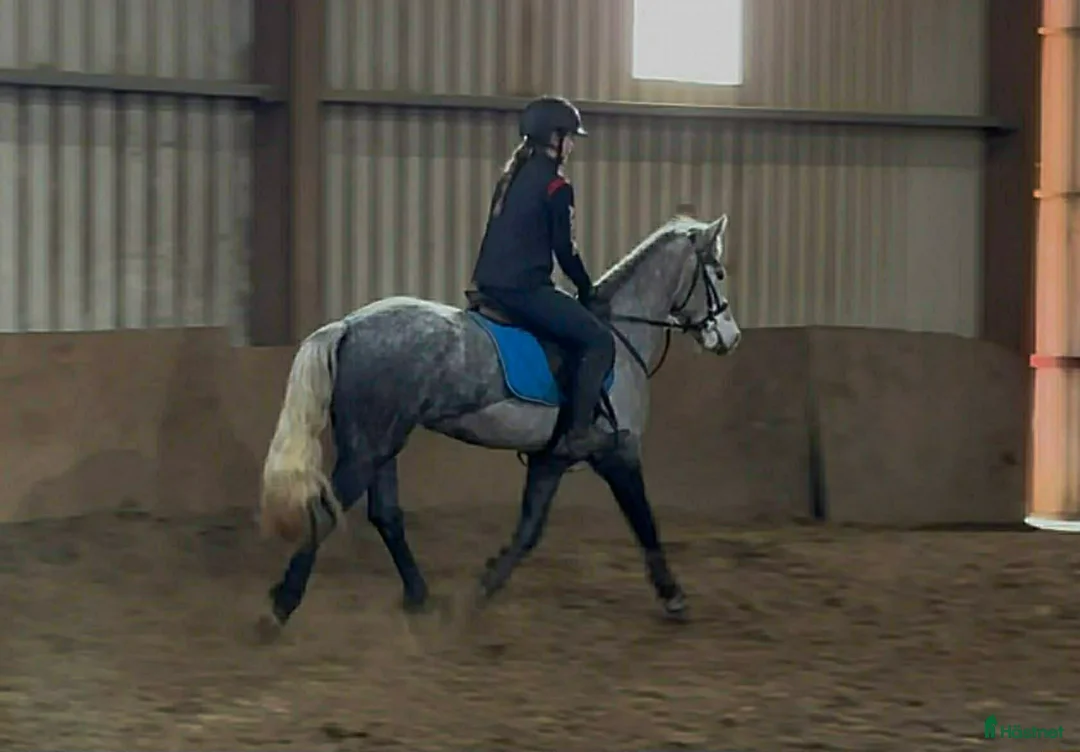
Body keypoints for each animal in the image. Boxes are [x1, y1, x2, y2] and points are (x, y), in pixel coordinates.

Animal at [257, 213, 741, 632]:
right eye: (717, 272)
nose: (730, 338)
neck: (620, 336)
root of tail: (349, 325)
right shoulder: (619, 453)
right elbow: (644, 522)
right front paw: (673, 596)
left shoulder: (551, 460)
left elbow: (529, 531)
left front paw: (481, 589)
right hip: (368, 449)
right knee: (327, 513)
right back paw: (280, 608)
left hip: (379, 445)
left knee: (386, 515)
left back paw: (419, 597)